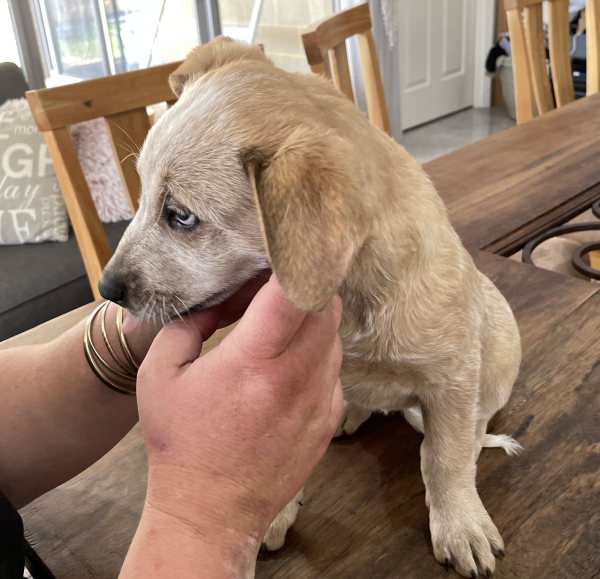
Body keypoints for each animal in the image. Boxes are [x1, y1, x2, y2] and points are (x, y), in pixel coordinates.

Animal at [98, 38, 520, 576]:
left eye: (181, 216)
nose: (106, 288)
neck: (352, 300)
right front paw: (271, 515)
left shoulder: (452, 376)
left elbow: (446, 456)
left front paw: (461, 523)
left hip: (501, 343)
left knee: (475, 420)